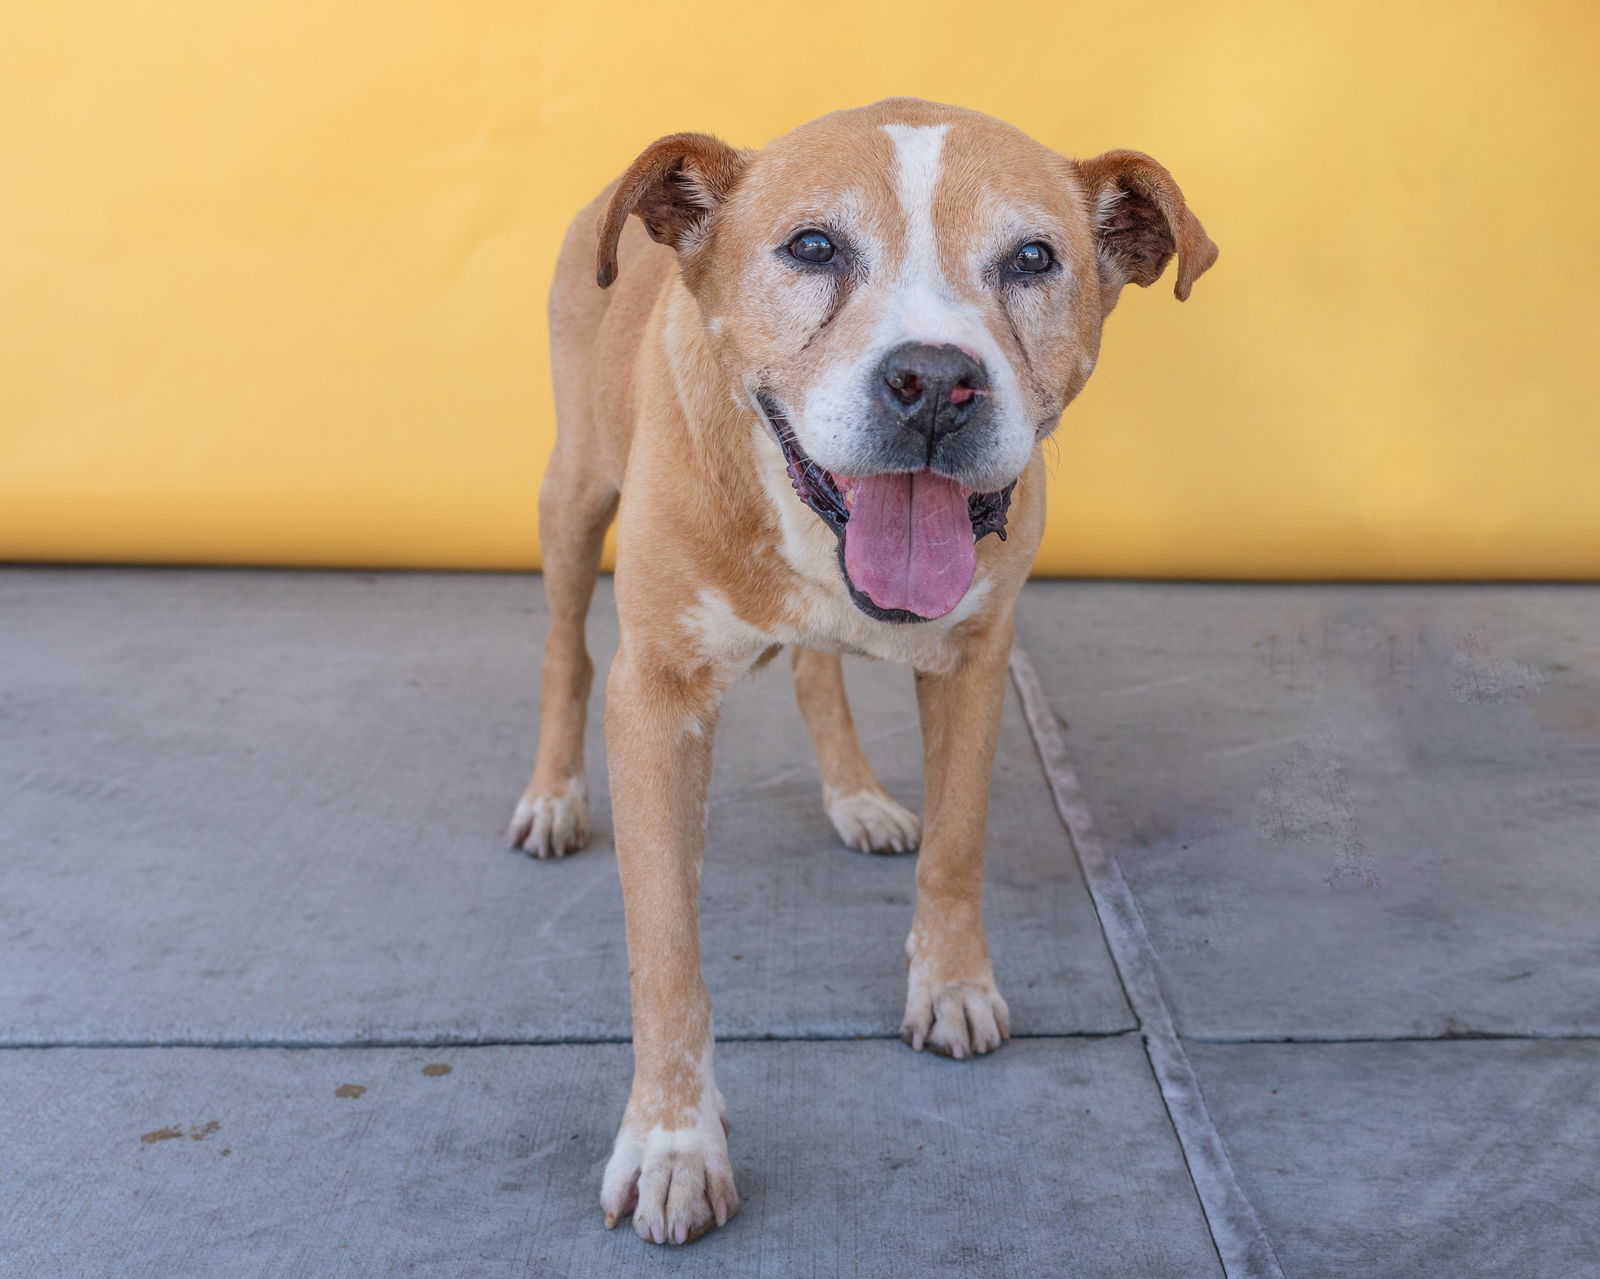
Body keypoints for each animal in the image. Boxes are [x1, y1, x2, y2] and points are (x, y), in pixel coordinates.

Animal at [505, 102, 1216, 1248]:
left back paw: (856, 797)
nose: (933, 382)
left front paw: (952, 984)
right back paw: (554, 796)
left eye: (1032, 259)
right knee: (564, 651)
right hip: (572, 495)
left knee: (812, 673)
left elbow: (959, 846)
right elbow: (665, 950)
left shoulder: (977, 661)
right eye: (812, 247)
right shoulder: (656, 695)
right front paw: (672, 1143)